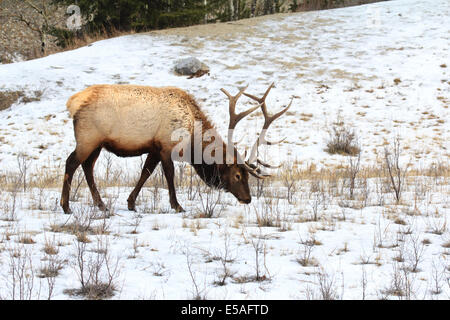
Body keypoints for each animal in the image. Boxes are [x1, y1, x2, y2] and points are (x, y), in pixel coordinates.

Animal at [59, 82, 292, 214]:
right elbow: (169, 175)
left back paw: (101, 205)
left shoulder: (153, 148)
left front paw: (131, 203)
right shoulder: (165, 146)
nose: (247, 198)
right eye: (237, 175)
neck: (192, 138)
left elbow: (145, 173)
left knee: (87, 167)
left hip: (97, 143)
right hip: (88, 137)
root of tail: (72, 103)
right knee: (71, 162)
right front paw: (177, 205)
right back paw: (66, 206)